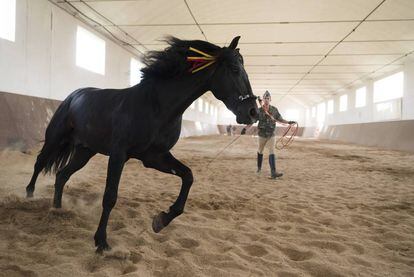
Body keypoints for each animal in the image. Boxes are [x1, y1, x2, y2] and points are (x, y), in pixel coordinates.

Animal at [25, 35, 258, 251]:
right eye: (235, 69)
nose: (253, 112)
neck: (156, 107)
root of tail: (73, 96)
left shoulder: (154, 157)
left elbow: (188, 176)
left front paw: (161, 220)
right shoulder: (119, 154)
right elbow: (110, 196)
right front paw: (101, 242)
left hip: (85, 151)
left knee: (62, 175)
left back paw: (57, 210)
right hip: (55, 140)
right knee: (39, 163)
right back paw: (28, 196)